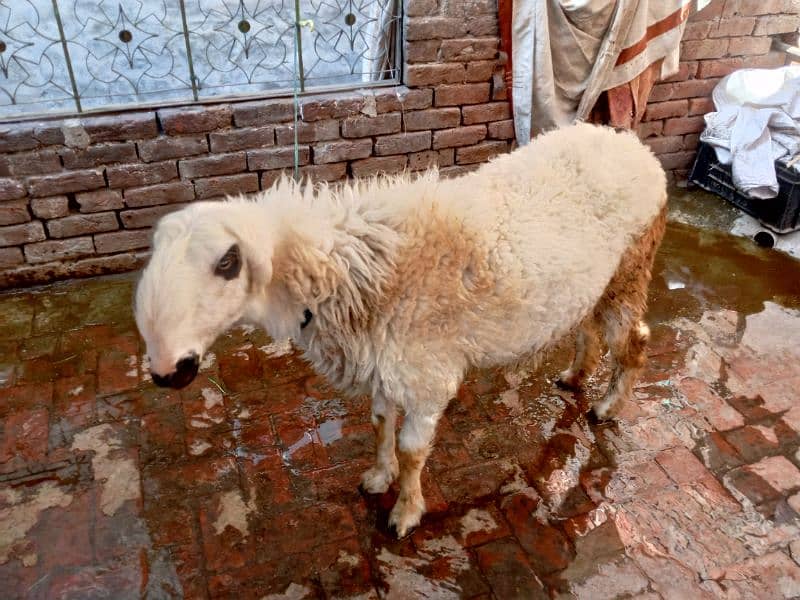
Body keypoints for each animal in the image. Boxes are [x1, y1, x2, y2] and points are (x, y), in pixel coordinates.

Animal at [134, 123, 668, 538]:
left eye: (228, 262)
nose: (167, 371)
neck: (355, 270)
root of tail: (630, 145)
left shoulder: (425, 371)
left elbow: (413, 451)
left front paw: (405, 511)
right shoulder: (384, 360)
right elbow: (379, 423)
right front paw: (377, 475)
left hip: (631, 267)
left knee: (635, 341)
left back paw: (607, 406)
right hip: (595, 284)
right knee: (587, 330)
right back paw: (575, 377)